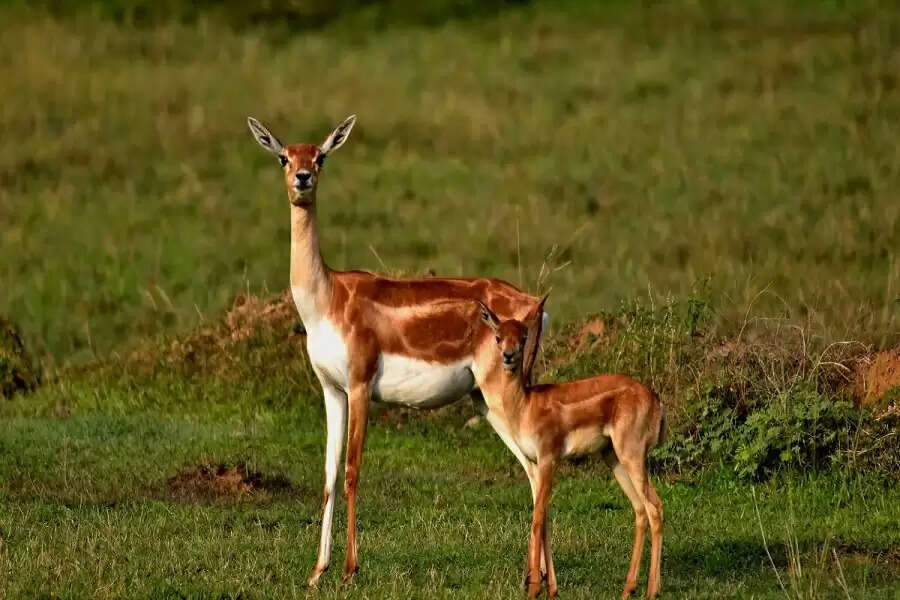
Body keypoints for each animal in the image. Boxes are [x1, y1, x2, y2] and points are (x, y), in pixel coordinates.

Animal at [243, 116, 548, 584]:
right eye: (284, 156)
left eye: (321, 155)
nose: (303, 178)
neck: (328, 298)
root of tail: (534, 303)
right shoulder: (331, 390)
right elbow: (329, 474)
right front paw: (317, 571)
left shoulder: (360, 386)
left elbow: (353, 470)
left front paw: (349, 569)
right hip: (485, 400)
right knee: (535, 472)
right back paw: (542, 577)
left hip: (501, 394)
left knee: (536, 470)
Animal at [474, 302, 664, 596]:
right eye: (498, 337)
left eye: (523, 337)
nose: (508, 356)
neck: (526, 406)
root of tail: (654, 400)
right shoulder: (536, 463)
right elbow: (544, 517)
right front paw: (550, 588)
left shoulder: (549, 459)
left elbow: (537, 518)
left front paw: (534, 588)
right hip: (614, 458)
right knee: (640, 510)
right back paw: (628, 589)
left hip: (631, 455)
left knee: (655, 508)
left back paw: (652, 591)